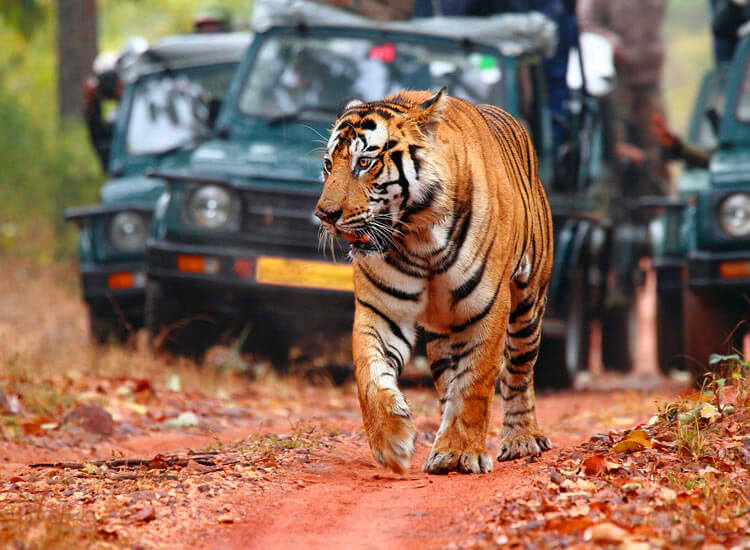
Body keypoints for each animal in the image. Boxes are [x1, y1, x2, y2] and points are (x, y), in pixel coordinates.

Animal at [315, 88, 554, 474]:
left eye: (364, 163)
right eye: (327, 164)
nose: (324, 215)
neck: (419, 236)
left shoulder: (487, 308)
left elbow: (476, 382)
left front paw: (460, 452)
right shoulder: (380, 310)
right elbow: (369, 376)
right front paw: (392, 441)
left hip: (528, 304)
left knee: (519, 372)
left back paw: (522, 439)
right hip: (443, 332)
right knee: (447, 381)